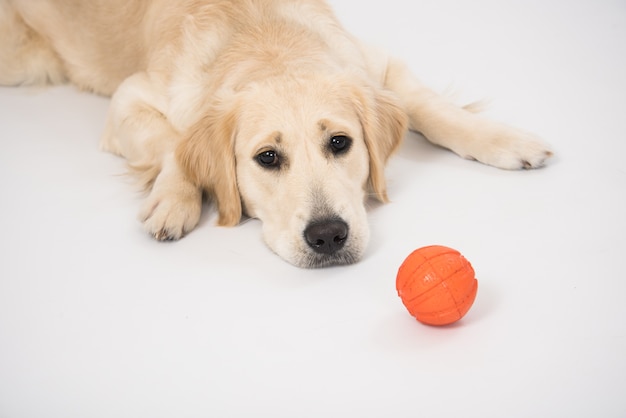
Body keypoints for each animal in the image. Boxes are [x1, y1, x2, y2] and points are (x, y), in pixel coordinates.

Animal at [0, 0, 548, 268]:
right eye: (267, 157)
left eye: (339, 143)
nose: (328, 236)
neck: (264, 38)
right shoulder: (128, 97)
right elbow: (174, 143)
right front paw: (175, 200)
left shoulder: (373, 61)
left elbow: (432, 108)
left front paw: (505, 140)